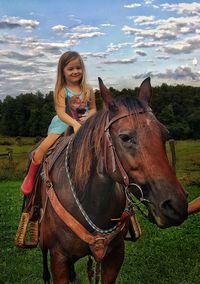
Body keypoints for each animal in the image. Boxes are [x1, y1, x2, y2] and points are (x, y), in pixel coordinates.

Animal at [39, 77, 188, 284]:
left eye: (165, 134)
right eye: (125, 137)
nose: (175, 206)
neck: (90, 201)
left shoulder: (115, 255)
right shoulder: (58, 258)